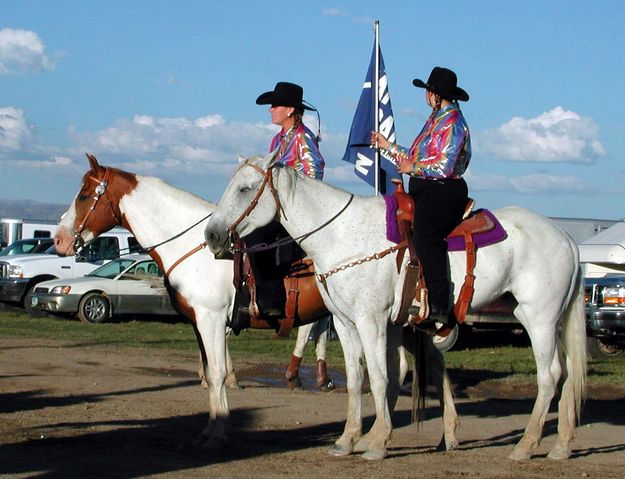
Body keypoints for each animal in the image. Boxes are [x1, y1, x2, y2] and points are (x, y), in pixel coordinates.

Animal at [52, 154, 332, 446]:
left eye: (84, 196)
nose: (58, 240)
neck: (194, 246)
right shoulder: (199, 323)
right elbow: (209, 373)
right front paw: (209, 428)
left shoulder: (212, 319)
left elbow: (218, 373)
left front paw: (218, 432)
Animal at [205, 153, 584, 462]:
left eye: (245, 189)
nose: (212, 236)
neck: (341, 236)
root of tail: (566, 238)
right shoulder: (344, 322)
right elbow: (356, 380)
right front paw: (347, 440)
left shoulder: (371, 320)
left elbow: (380, 377)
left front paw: (377, 442)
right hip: (550, 320)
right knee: (567, 374)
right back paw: (561, 447)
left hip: (539, 317)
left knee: (549, 375)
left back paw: (526, 445)